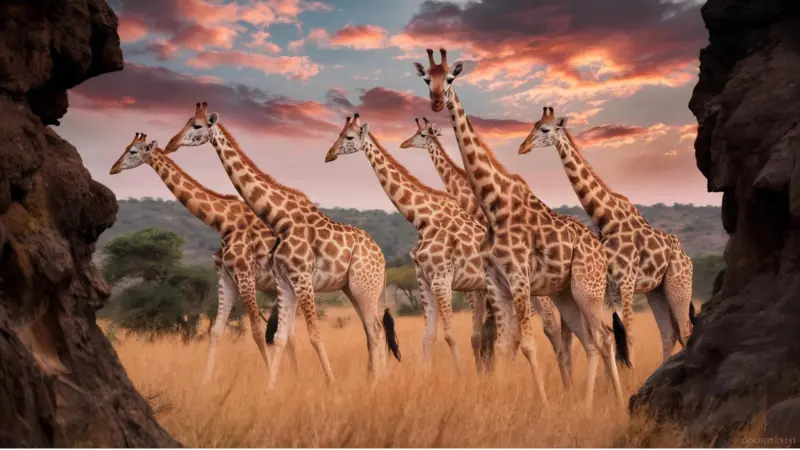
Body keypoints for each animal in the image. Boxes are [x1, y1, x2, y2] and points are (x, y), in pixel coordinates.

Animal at [109, 132, 301, 383]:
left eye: (132, 151)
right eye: (125, 147)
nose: (113, 168)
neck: (223, 222)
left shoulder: (245, 274)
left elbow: (257, 331)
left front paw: (269, 377)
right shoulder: (225, 276)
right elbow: (216, 331)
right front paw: (205, 381)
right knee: (290, 333)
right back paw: (297, 375)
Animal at [163, 103, 401, 388]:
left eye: (197, 126)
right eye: (186, 121)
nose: (171, 143)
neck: (280, 218)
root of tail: (382, 256)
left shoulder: (295, 277)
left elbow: (311, 333)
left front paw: (331, 384)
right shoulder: (281, 280)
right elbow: (278, 336)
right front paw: (270, 388)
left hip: (364, 287)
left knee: (376, 330)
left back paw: (376, 382)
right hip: (354, 289)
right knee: (371, 330)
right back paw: (373, 379)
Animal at [324, 114, 534, 386]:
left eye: (349, 137)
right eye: (339, 134)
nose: (329, 154)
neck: (422, 218)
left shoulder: (442, 279)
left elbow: (450, 334)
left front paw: (461, 376)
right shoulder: (424, 279)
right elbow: (428, 336)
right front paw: (425, 378)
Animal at [399, 117, 575, 387]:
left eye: (421, 134)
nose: (404, 143)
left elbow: (491, 333)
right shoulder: (481, 285)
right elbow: (486, 333)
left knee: (550, 325)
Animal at [518, 107, 694, 367]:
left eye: (545, 129)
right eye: (533, 125)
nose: (523, 147)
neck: (605, 217)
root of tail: (687, 258)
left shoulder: (627, 283)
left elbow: (628, 335)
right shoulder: (611, 288)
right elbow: (617, 335)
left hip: (679, 285)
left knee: (685, 331)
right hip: (657, 291)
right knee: (670, 334)